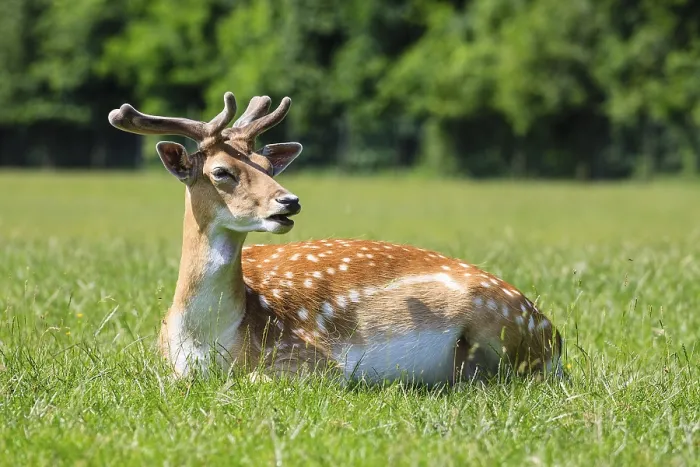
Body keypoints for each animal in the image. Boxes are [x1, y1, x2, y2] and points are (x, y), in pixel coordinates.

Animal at [108, 91, 564, 385]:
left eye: (266, 166)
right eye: (221, 171)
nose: (288, 201)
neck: (206, 341)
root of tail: (555, 335)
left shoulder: (313, 359)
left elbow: (254, 380)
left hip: (501, 327)